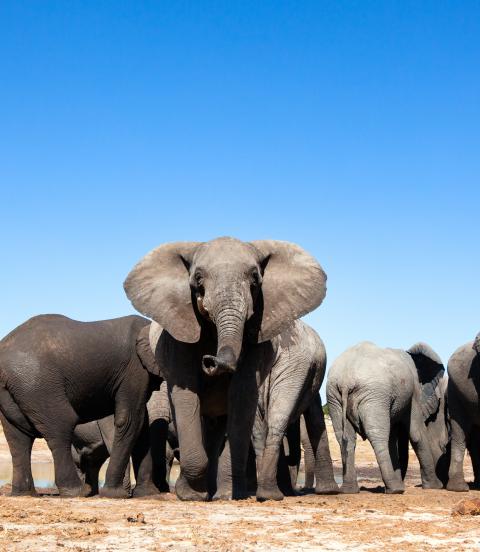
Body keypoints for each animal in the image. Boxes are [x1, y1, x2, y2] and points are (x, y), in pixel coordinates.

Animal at [0, 312, 161, 498]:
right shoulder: (134, 369)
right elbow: (130, 420)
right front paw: (116, 494)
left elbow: (142, 425)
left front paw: (148, 494)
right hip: (37, 382)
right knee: (61, 426)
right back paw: (78, 491)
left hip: (17, 388)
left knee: (17, 437)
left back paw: (24, 493)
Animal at [124, 236, 326, 500]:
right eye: (198, 278)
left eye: (255, 278)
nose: (210, 360)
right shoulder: (177, 335)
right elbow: (187, 395)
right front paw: (192, 496)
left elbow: (241, 396)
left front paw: (227, 495)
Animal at [326, 342, 446, 494]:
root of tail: (346, 380)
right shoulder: (413, 392)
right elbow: (416, 434)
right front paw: (435, 486)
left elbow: (393, 438)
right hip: (374, 396)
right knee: (378, 435)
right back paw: (395, 489)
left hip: (334, 396)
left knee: (345, 438)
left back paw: (349, 490)